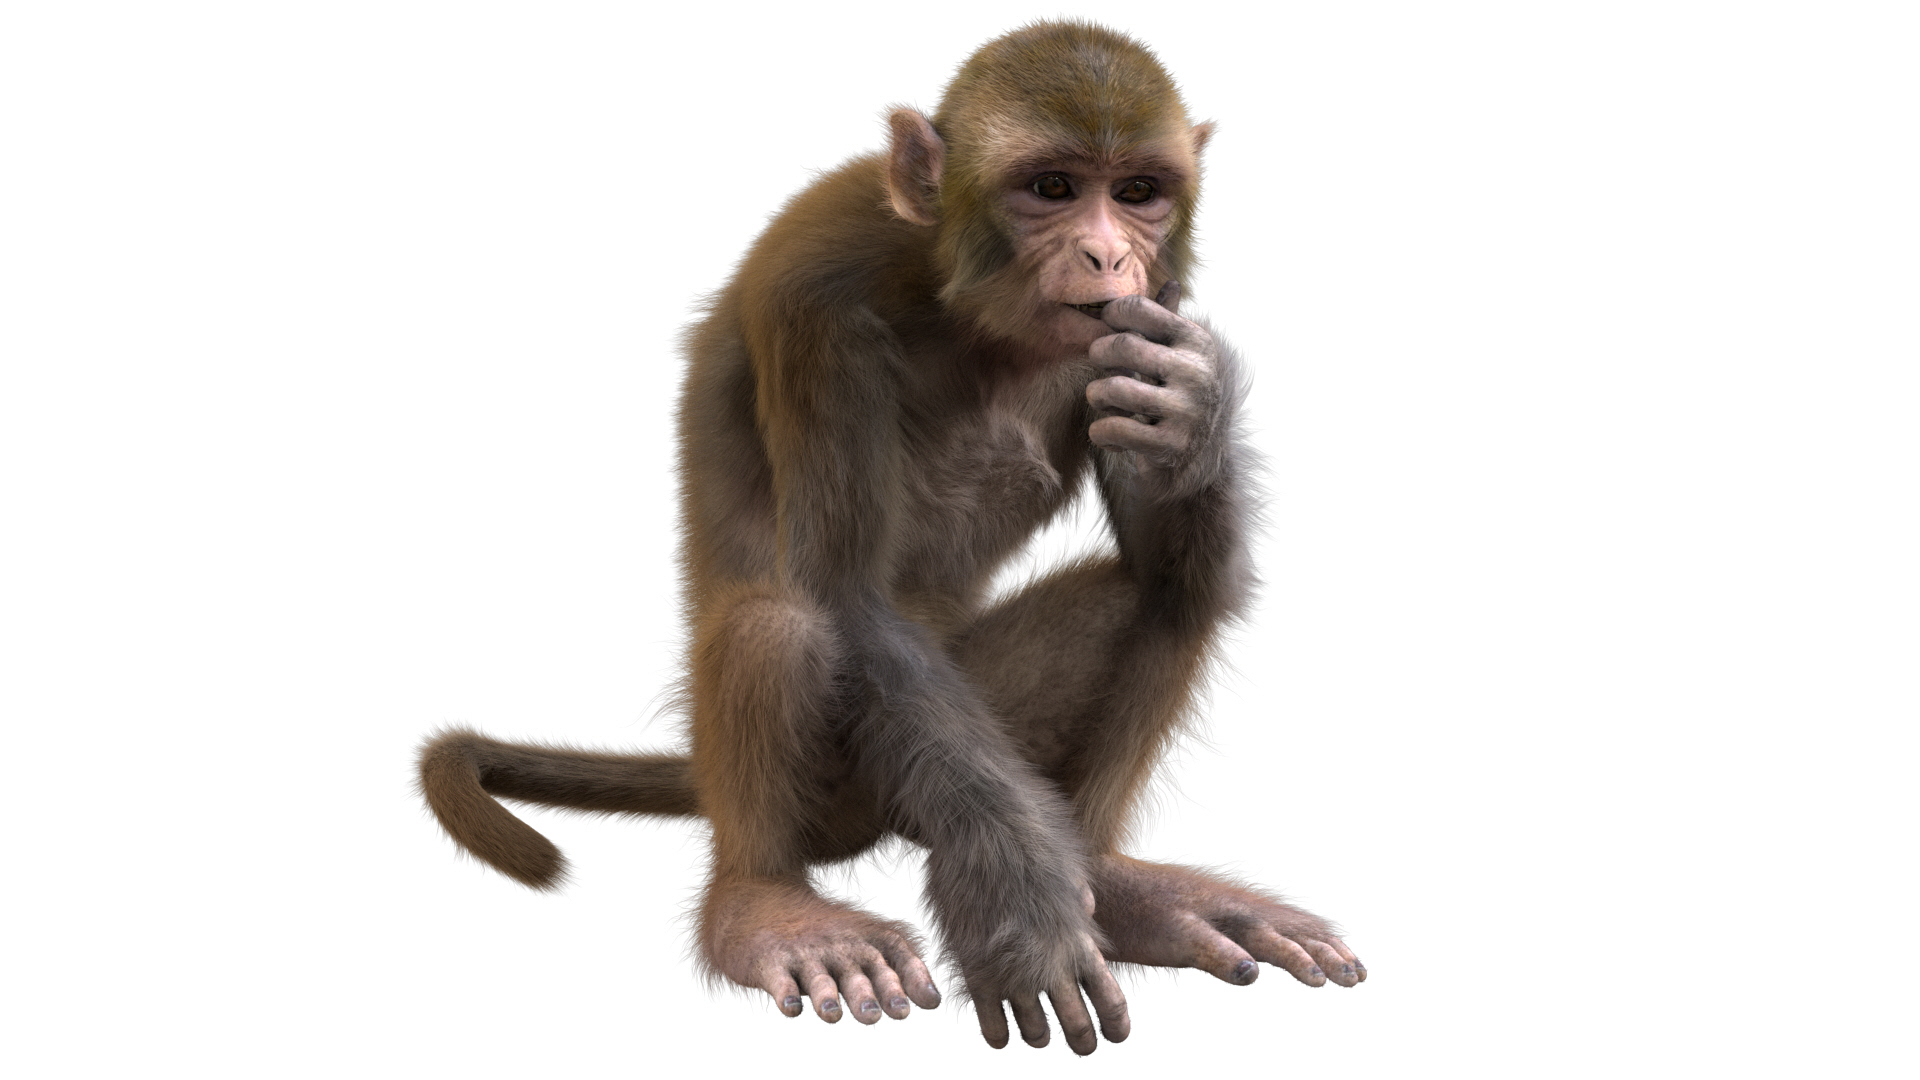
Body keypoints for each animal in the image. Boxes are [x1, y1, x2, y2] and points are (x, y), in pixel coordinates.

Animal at [418, 20, 1364, 1055]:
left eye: (1138, 193)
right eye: (1052, 188)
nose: (1109, 256)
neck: (955, 298)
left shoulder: (1160, 306)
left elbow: (1173, 556)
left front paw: (1190, 414)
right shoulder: (816, 298)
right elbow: (849, 597)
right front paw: (1012, 902)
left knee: (1169, 589)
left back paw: (1115, 885)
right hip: (848, 795)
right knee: (778, 621)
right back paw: (764, 905)